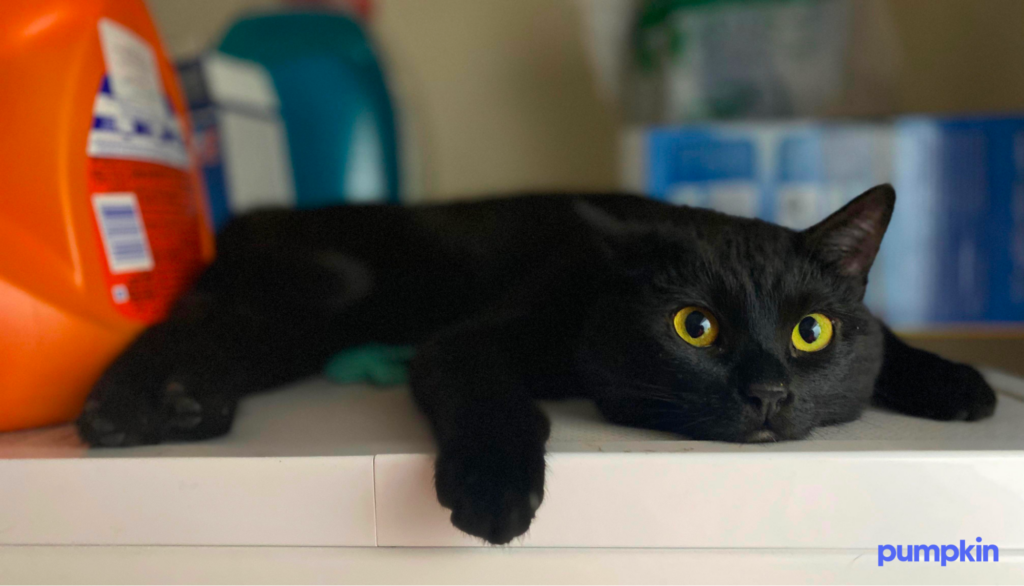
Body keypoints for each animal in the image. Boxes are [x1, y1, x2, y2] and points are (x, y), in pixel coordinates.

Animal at [77, 184, 991, 545]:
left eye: (811, 332)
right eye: (694, 327)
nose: (768, 393)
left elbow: (889, 338)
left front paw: (958, 382)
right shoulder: (465, 343)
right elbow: (495, 395)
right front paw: (494, 490)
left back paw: (181, 401)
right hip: (329, 288)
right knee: (199, 317)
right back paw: (124, 409)